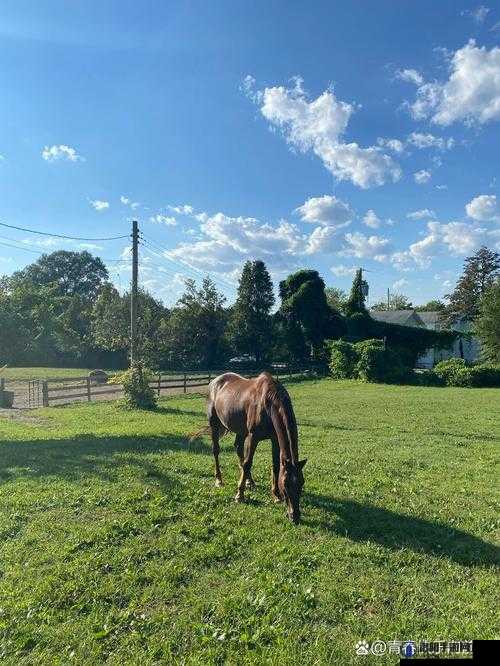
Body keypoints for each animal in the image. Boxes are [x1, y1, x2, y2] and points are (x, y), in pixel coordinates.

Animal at [203, 370, 304, 520]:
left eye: (302, 483)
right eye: (285, 484)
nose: (294, 515)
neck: (268, 403)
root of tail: (215, 381)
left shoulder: (275, 439)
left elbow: (275, 465)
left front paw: (276, 495)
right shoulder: (253, 437)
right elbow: (248, 463)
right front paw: (239, 495)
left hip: (240, 431)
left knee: (238, 448)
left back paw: (249, 481)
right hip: (214, 425)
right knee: (216, 451)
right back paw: (219, 480)